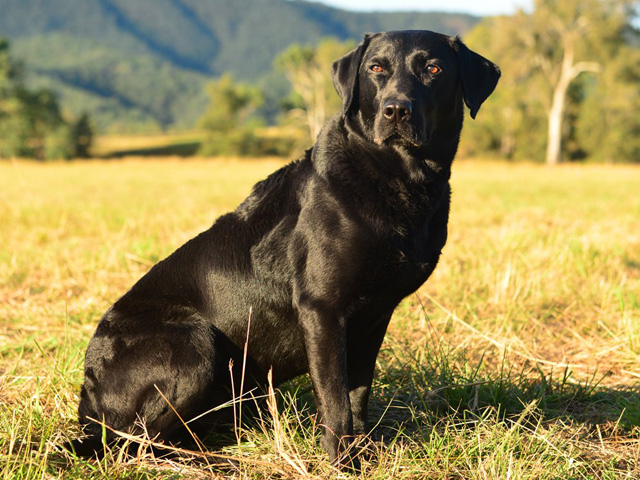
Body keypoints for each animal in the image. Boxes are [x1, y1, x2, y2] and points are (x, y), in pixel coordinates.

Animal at [70, 29, 500, 464]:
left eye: (434, 69)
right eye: (377, 68)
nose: (396, 110)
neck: (397, 178)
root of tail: (86, 402)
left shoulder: (375, 315)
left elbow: (358, 393)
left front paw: (364, 451)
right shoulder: (322, 308)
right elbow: (335, 398)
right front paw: (341, 460)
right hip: (194, 344)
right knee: (134, 442)